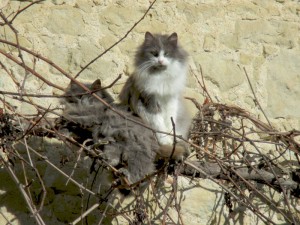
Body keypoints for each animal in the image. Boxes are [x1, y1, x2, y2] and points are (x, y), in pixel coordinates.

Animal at [119, 31, 191, 160]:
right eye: (154, 54)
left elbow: (169, 123)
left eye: (166, 54)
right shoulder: (150, 102)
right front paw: (166, 142)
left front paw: (172, 139)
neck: (160, 77)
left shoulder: (171, 101)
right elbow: (159, 124)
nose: (160, 61)